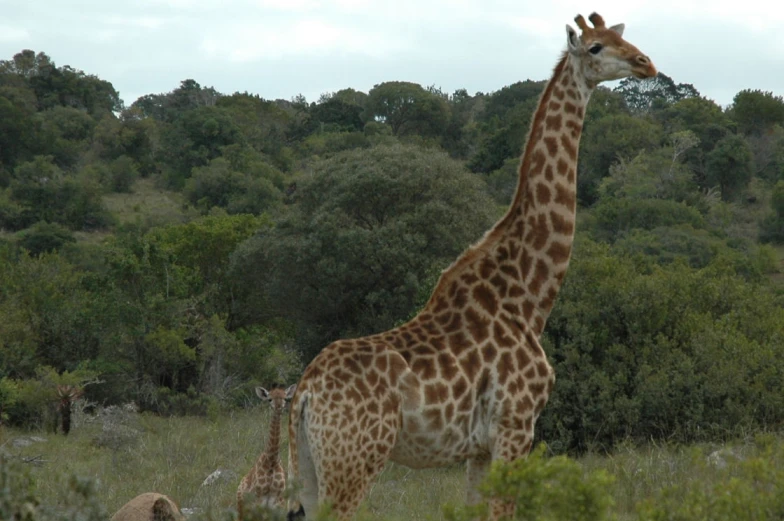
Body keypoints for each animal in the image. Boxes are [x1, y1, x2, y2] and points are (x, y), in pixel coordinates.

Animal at [236, 380, 298, 516]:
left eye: (285, 398)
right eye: (269, 399)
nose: (279, 408)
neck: (271, 460)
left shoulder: (278, 502)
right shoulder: (259, 501)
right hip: (242, 508)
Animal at [286, 12, 656, 520]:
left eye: (623, 37)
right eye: (596, 47)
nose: (646, 64)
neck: (529, 297)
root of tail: (305, 393)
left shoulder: (479, 448)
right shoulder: (516, 426)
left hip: (309, 467)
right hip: (353, 463)